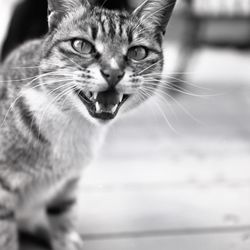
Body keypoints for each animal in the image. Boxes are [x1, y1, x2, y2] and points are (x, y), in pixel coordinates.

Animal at [0, 0, 176, 249]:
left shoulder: (68, 183)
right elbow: (5, 232)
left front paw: (65, 239)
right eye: (82, 45)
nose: (113, 73)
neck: (74, 121)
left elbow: (63, 213)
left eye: (138, 52)